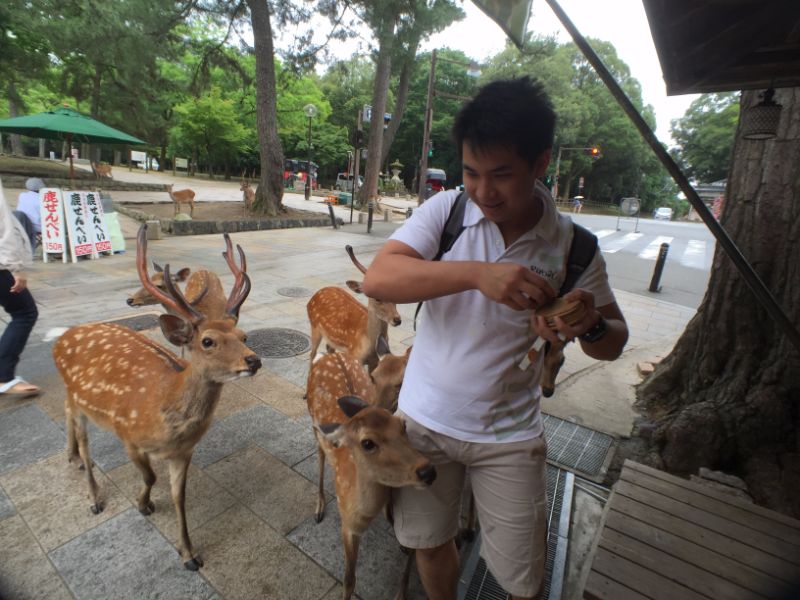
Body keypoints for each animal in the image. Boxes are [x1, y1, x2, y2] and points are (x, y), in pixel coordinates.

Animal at [52, 224, 261, 571]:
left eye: (243, 336)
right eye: (207, 341)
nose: (254, 360)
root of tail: (61, 337)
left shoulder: (184, 452)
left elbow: (179, 496)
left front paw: (189, 554)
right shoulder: (129, 436)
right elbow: (150, 475)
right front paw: (143, 504)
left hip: (74, 394)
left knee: (66, 413)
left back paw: (74, 459)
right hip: (77, 396)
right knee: (83, 436)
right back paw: (93, 495)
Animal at [307, 245, 402, 374]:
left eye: (396, 296)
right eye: (376, 297)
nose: (397, 320)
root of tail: (312, 298)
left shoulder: (375, 362)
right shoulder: (354, 355)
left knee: (329, 348)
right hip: (314, 326)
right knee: (312, 353)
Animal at [307, 347, 434, 600]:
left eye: (403, 426)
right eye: (367, 443)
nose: (427, 470)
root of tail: (331, 353)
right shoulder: (348, 523)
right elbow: (348, 580)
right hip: (313, 424)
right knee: (321, 454)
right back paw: (319, 507)